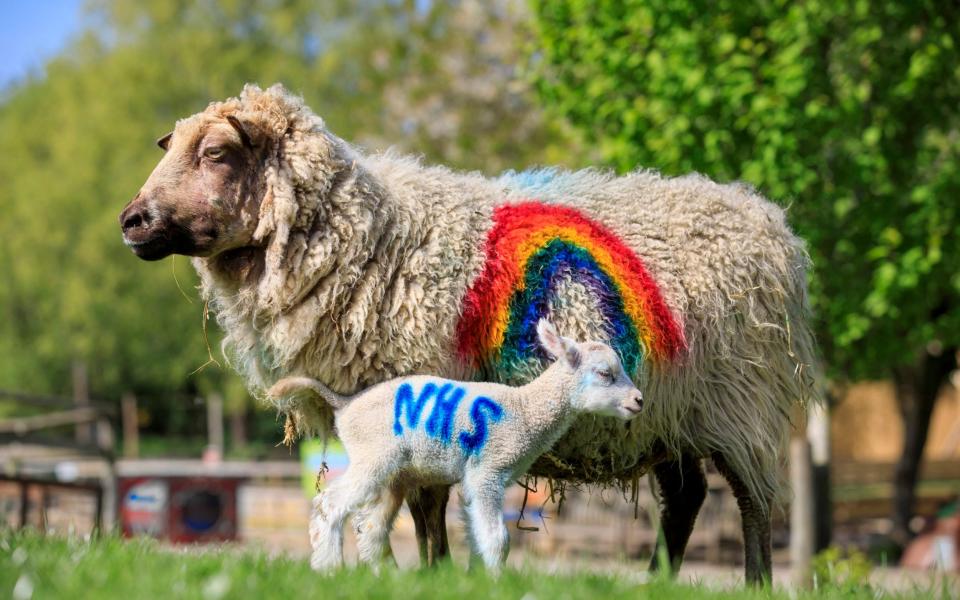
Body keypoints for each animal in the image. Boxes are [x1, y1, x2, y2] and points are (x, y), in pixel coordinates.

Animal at [268, 322, 644, 576]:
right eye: (605, 373)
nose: (638, 401)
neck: (525, 411)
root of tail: (345, 405)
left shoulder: (477, 479)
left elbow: (478, 533)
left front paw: (478, 577)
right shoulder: (488, 470)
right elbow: (498, 538)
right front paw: (495, 580)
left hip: (395, 475)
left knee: (372, 528)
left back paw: (385, 577)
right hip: (373, 456)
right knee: (329, 504)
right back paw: (329, 568)